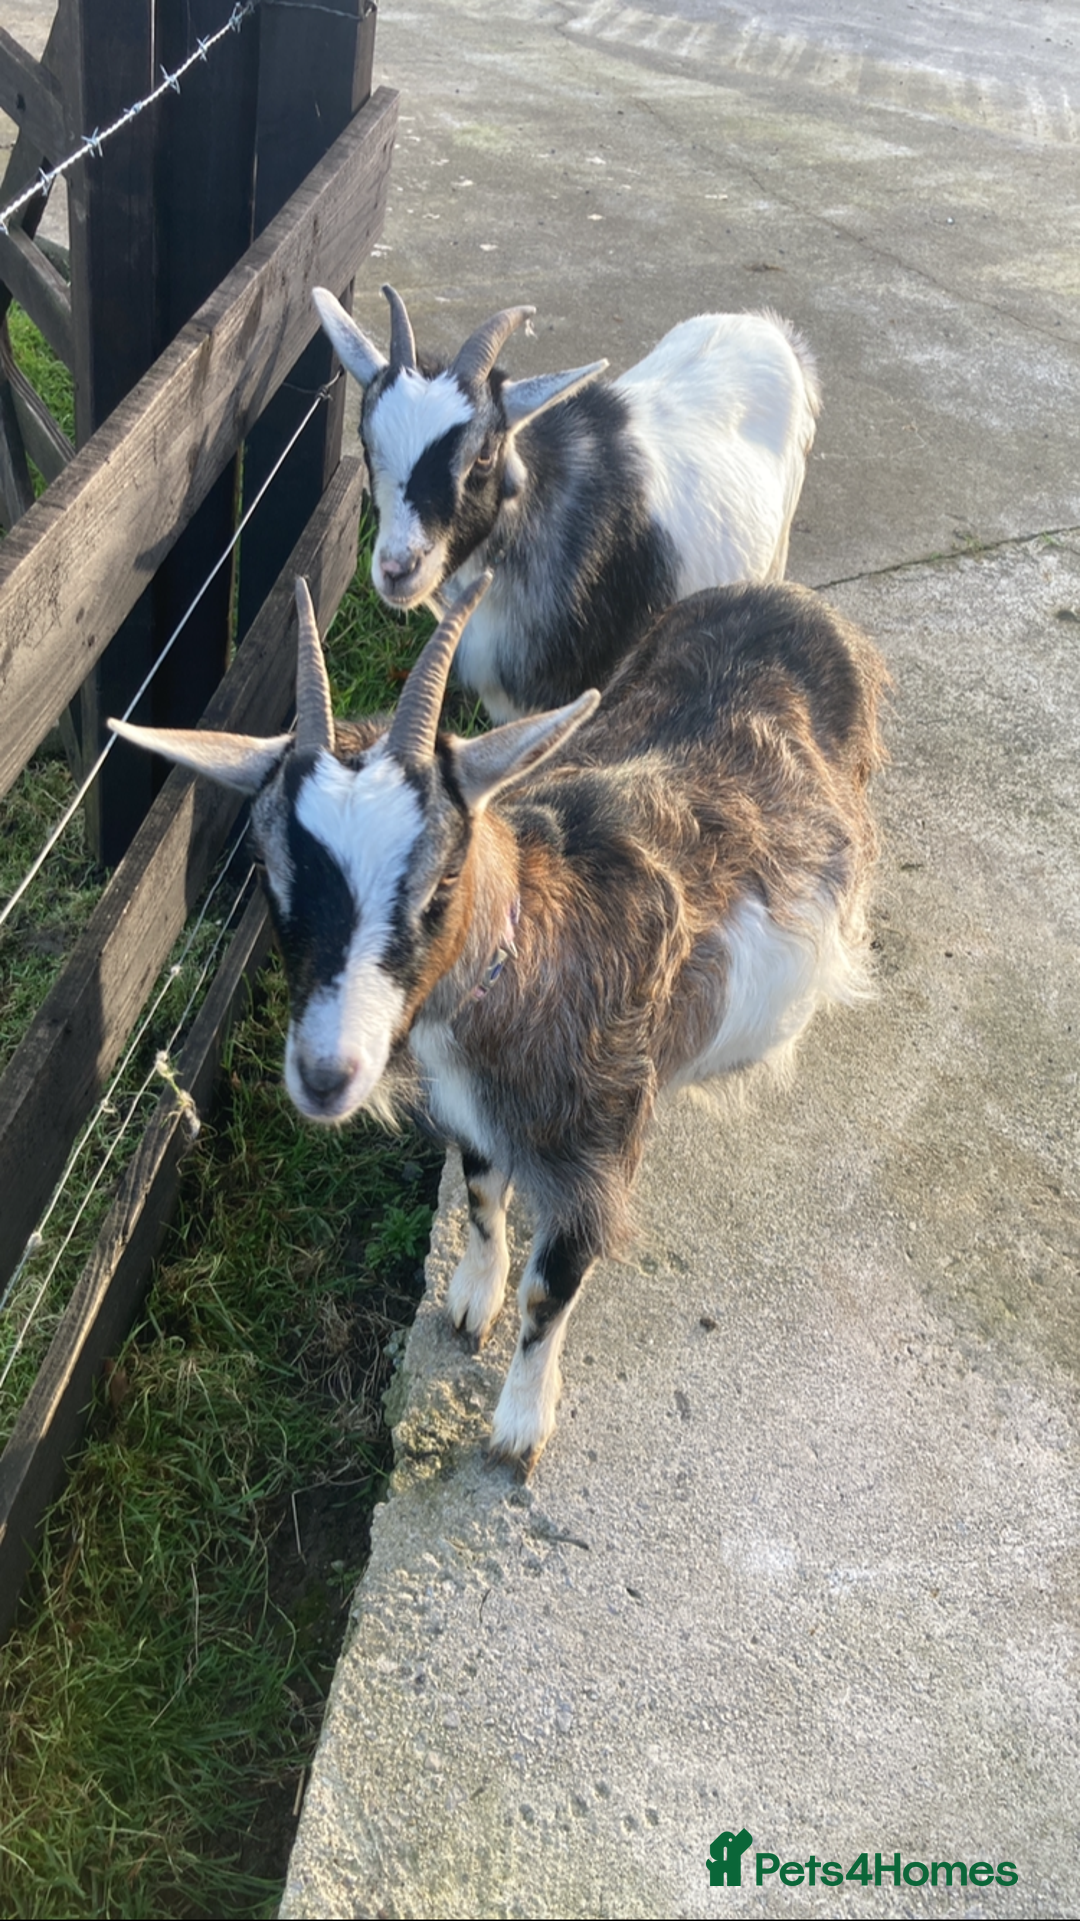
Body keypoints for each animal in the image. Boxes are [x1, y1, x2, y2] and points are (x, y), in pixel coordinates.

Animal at [110, 571, 886, 1474]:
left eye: (444, 878)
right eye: (269, 868)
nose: (326, 1073)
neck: (532, 952)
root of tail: (789, 596)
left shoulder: (596, 1158)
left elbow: (549, 1292)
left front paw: (519, 1424)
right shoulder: (471, 1110)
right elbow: (481, 1198)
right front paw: (470, 1298)